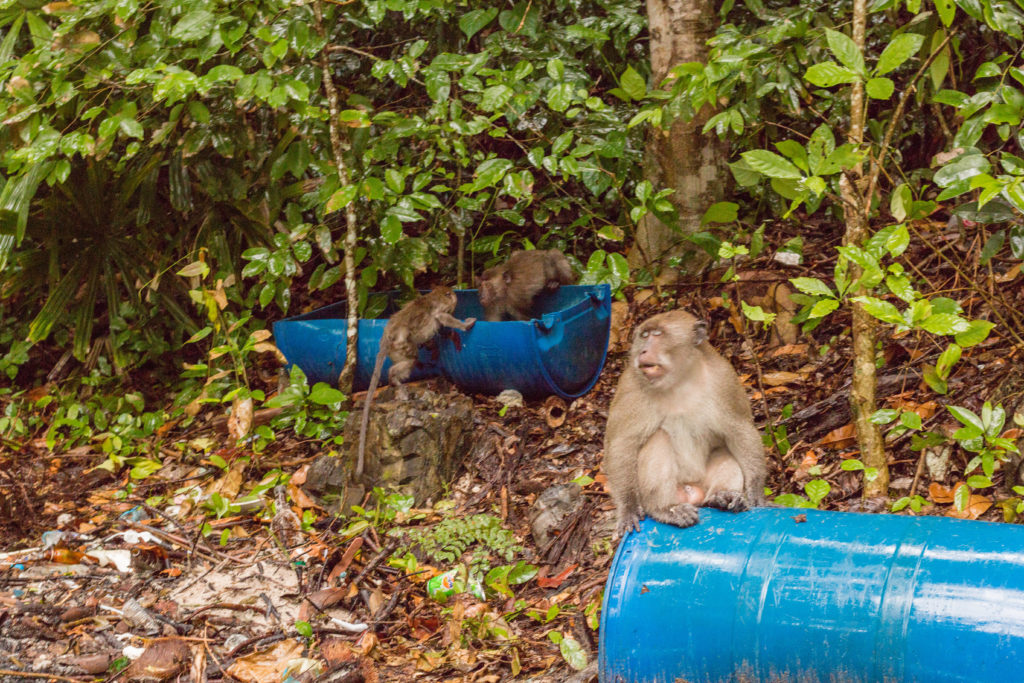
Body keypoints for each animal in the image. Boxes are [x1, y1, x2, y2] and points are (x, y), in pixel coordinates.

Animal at [356, 287, 475, 479]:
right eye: (450, 294)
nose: (455, 295)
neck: (434, 296)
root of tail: (387, 338)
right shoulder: (440, 309)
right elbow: (442, 317)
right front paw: (465, 325)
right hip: (401, 346)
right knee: (410, 358)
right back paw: (395, 379)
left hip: (395, 351)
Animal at [603, 310, 766, 535]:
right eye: (644, 336)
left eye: (657, 334)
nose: (642, 351)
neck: (679, 381)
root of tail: (691, 491)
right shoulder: (631, 387)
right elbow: (621, 444)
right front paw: (628, 507)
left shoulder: (724, 379)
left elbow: (740, 430)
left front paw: (756, 490)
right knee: (659, 438)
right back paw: (666, 509)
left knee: (724, 452)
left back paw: (721, 497)